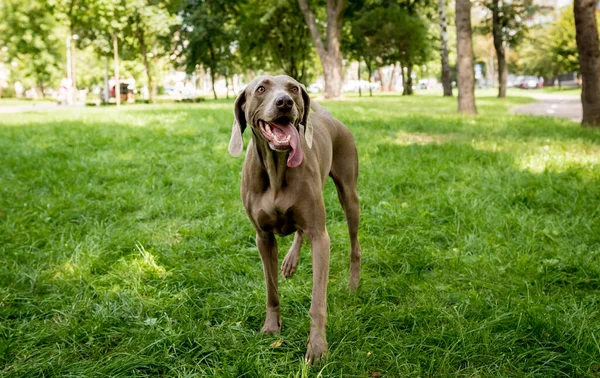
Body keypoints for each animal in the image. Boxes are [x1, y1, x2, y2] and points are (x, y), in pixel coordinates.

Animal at [227, 74, 360, 364]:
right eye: (261, 89)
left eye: (294, 88)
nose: (285, 102)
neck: (277, 167)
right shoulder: (263, 237)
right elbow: (271, 289)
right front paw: (271, 327)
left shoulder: (321, 237)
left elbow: (317, 301)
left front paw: (317, 347)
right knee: (300, 232)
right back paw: (289, 262)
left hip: (349, 196)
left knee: (354, 244)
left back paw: (353, 283)